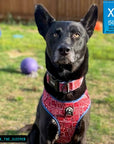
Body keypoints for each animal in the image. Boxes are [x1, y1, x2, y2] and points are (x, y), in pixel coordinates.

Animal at [27, 4, 98, 144]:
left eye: (76, 34)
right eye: (55, 34)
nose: (64, 49)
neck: (66, 84)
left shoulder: (81, 135)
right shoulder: (46, 135)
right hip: (34, 132)